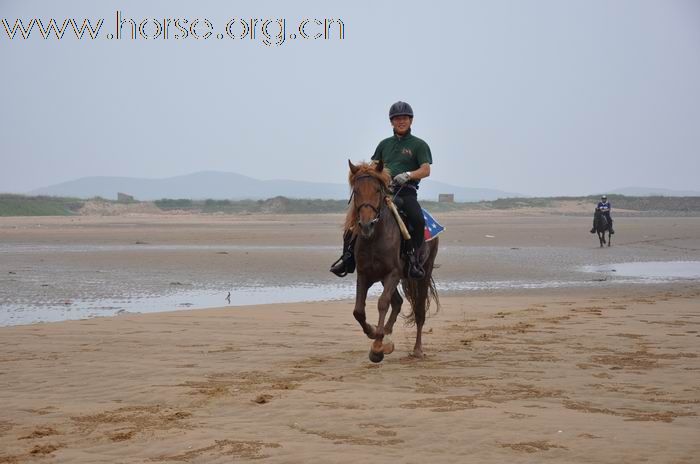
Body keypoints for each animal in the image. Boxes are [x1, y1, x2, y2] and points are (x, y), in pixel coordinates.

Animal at [344, 160, 438, 362]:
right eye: (356, 191)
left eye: (377, 190)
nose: (366, 225)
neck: (375, 238)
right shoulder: (364, 274)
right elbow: (358, 311)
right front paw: (374, 333)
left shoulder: (393, 273)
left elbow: (382, 303)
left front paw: (377, 348)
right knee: (398, 302)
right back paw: (386, 335)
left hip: (423, 273)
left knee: (419, 311)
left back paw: (417, 349)